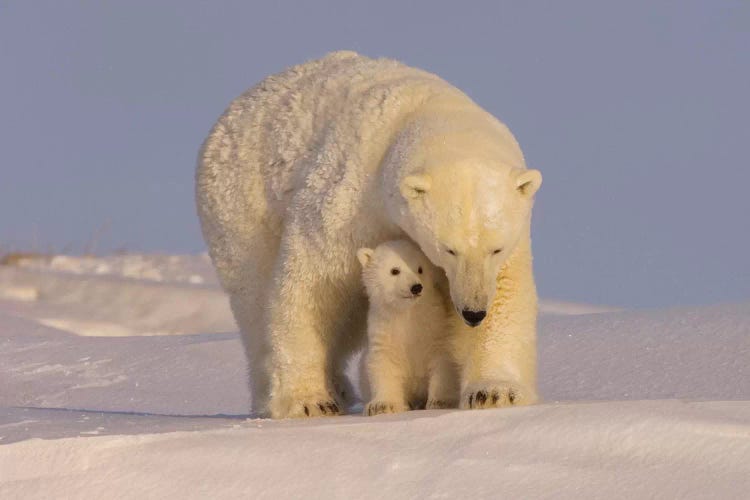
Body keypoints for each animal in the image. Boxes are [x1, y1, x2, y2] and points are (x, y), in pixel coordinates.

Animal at [358, 238, 458, 414]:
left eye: (420, 269)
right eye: (395, 270)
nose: (416, 287)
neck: (407, 314)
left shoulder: (436, 328)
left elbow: (442, 361)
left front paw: (440, 401)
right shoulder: (384, 330)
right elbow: (382, 363)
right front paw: (381, 405)